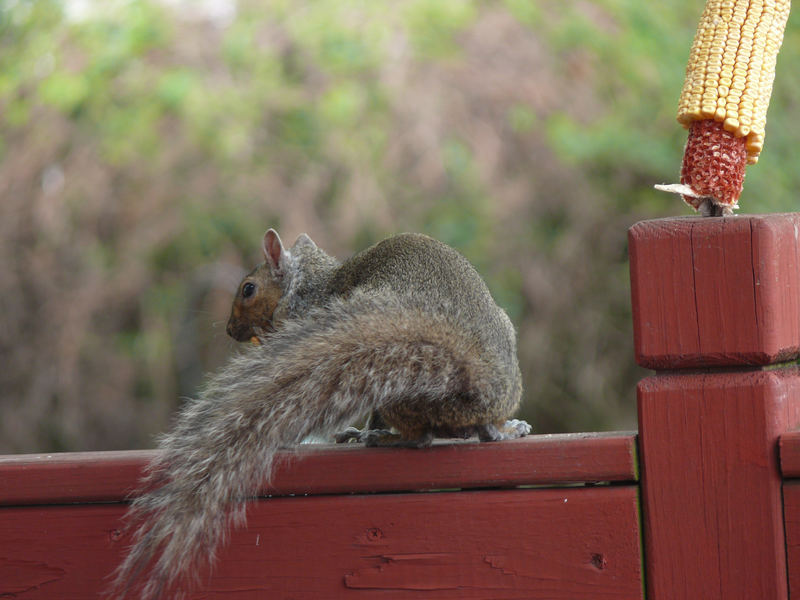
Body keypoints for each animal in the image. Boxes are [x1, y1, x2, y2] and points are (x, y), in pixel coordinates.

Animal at [111, 227, 524, 596]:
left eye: (248, 289)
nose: (230, 330)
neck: (308, 284)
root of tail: (480, 381)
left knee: (420, 437)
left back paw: (385, 438)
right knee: (479, 430)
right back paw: (505, 428)